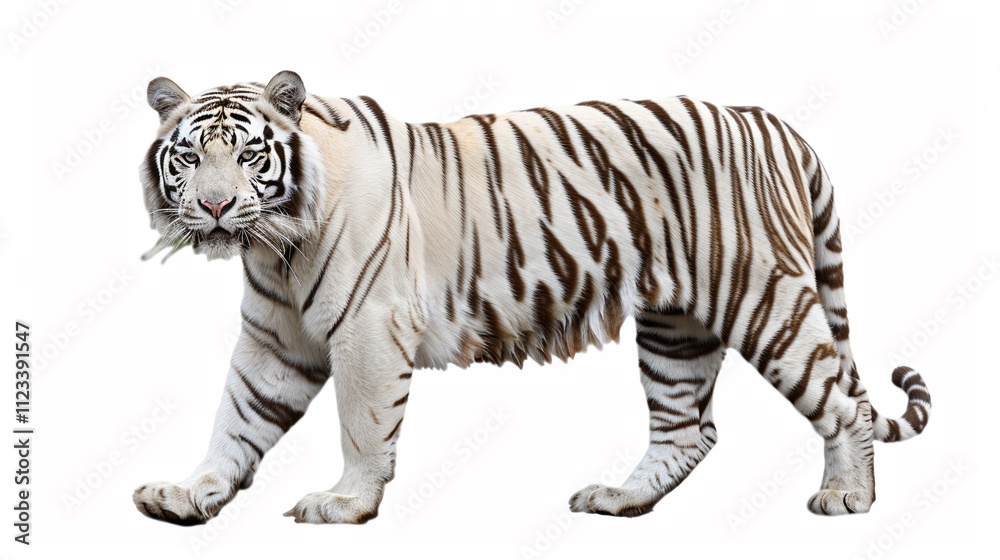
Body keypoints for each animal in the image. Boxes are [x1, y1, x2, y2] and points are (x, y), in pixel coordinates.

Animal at [132, 70, 931, 525]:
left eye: (248, 153)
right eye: (188, 155)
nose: (212, 208)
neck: (275, 247)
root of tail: (774, 123)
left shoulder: (368, 328)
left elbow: (362, 426)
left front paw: (345, 504)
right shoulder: (275, 340)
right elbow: (237, 419)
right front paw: (190, 493)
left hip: (766, 298)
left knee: (846, 402)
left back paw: (848, 498)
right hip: (675, 326)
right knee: (688, 431)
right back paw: (619, 501)